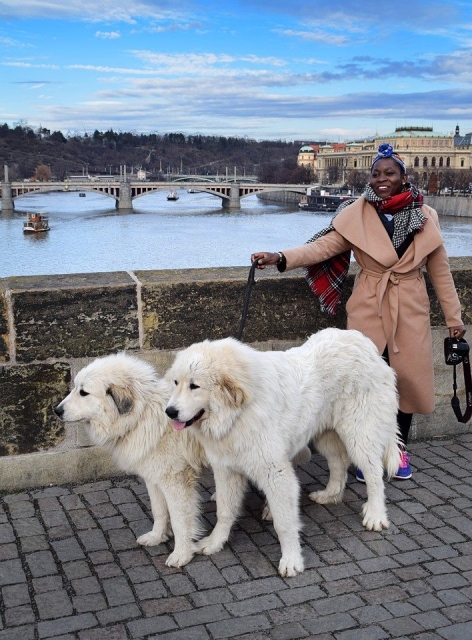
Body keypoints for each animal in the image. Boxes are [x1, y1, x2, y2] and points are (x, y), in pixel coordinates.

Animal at [54, 353, 208, 568]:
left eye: (84, 392)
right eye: (75, 387)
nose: (56, 410)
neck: (143, 414)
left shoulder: (176, 481)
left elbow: (180, 520)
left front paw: (181, 554)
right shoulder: (154, 477)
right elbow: (159, 511)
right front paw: (157, 537)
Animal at [165, 328, 401, 577]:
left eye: (194, 386)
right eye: (176, 382)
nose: (169, 412)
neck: (238, 413)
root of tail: (364, 342)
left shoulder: (275, 473)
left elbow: (285, 523)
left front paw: (291, 560)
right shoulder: (227, 470)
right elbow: (224, 511)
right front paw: (214, 543)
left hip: (359, 435)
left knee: (374, 475)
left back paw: (376, 515)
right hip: (324, 434)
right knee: (339, 463)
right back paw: (330, 495)